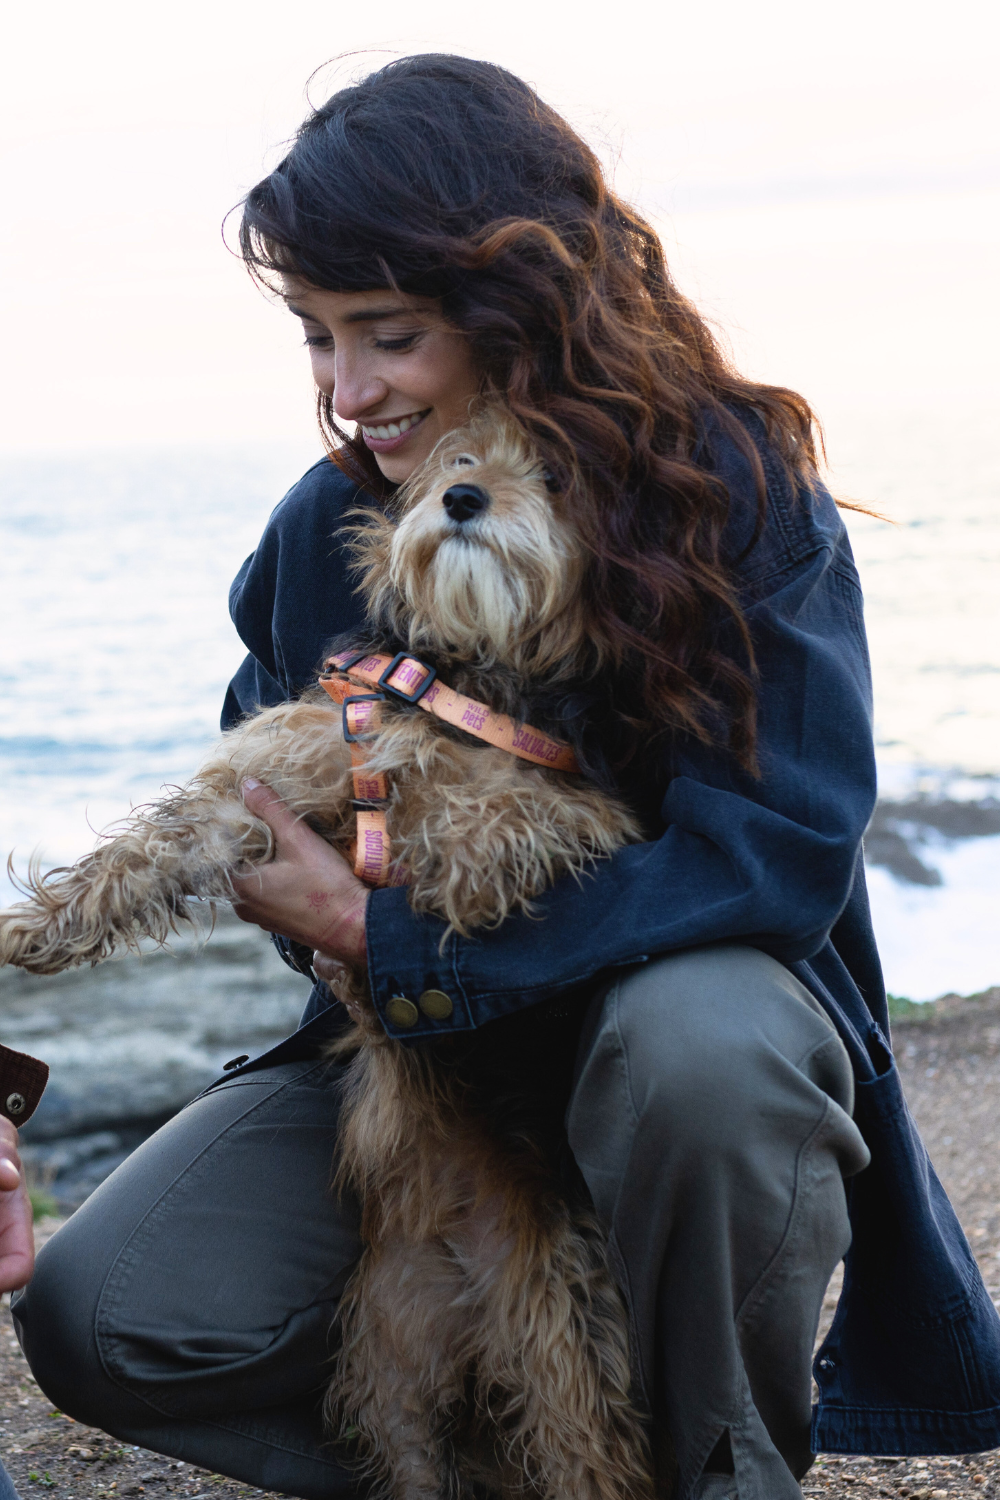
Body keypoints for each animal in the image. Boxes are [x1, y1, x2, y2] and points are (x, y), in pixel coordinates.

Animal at [0, 414, 653, 1500]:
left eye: (554, 474)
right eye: (460, 461)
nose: (464, 501)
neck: (457, 676)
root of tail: (469, 1288)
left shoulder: (557, 816)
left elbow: (472, 820)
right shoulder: (257, 791)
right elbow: (138, 855)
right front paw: (33, 928)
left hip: (564, 1375)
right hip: (389, 1378)